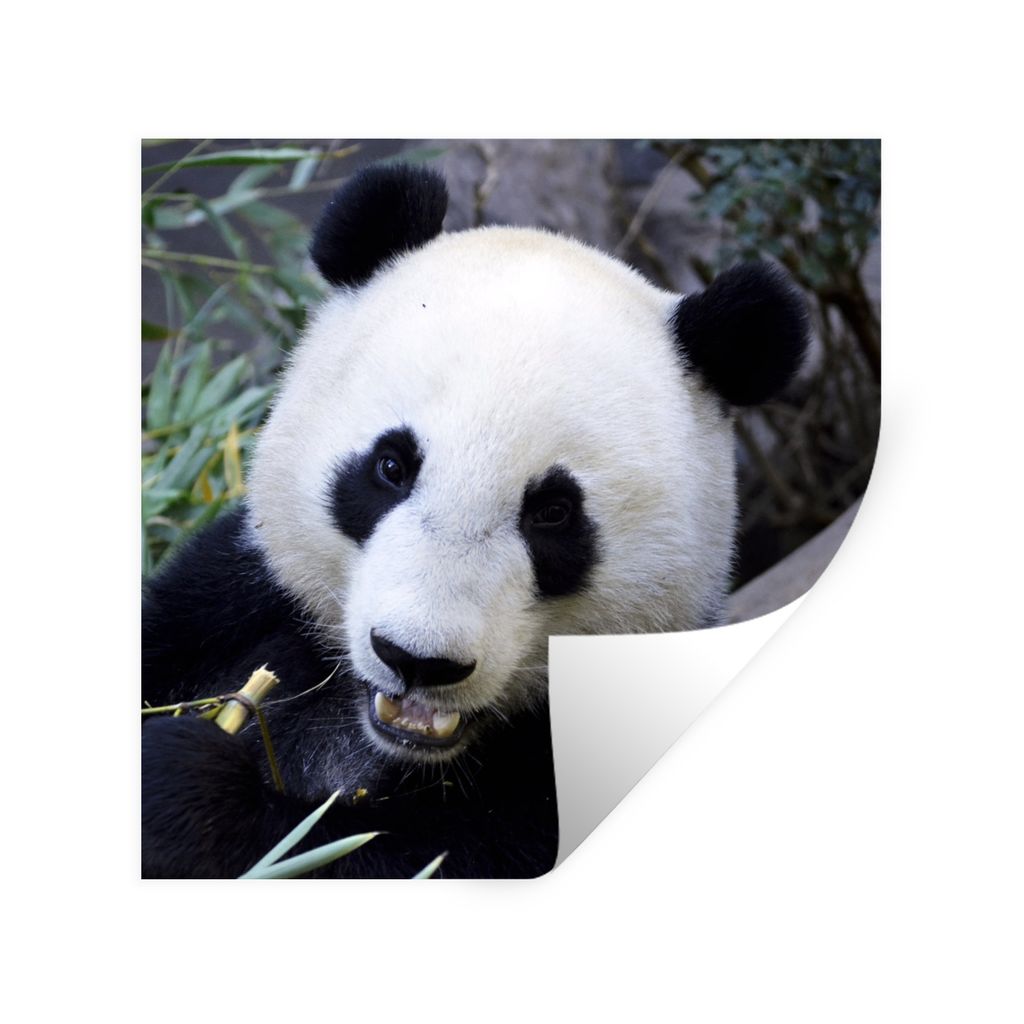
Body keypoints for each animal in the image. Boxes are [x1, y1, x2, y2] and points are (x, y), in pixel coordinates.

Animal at [142, 163, 808, 879]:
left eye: (553, 513)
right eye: (391, 467)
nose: (416, 660)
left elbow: (389, 853)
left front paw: (186, 789)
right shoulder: (238, 597)